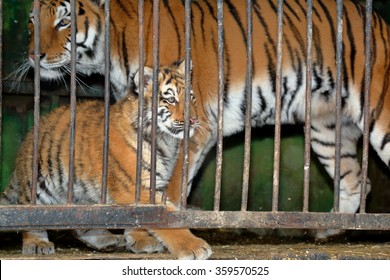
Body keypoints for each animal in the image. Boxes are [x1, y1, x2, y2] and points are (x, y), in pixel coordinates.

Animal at [0, 59, 213, 260]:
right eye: (170, 99)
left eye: (191, 97)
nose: (194, 120)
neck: (165, 141)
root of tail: (29, 136)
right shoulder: (134, 186)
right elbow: (168, 218)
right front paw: (194, 247)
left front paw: (139, 240)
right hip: (39, 186)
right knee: (30, 217)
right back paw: (38, 243)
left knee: (84, 220)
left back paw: (109, 239)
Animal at [24, 0, 390, 254]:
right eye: (31, 21)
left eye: (64, 21)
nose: (33, 56)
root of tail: (380, 21)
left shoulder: (192, 127)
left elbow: (169, 188)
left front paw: (150, 235)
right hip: (327, 129)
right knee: (357, 180)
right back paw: (328, 229)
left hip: (378, 114)